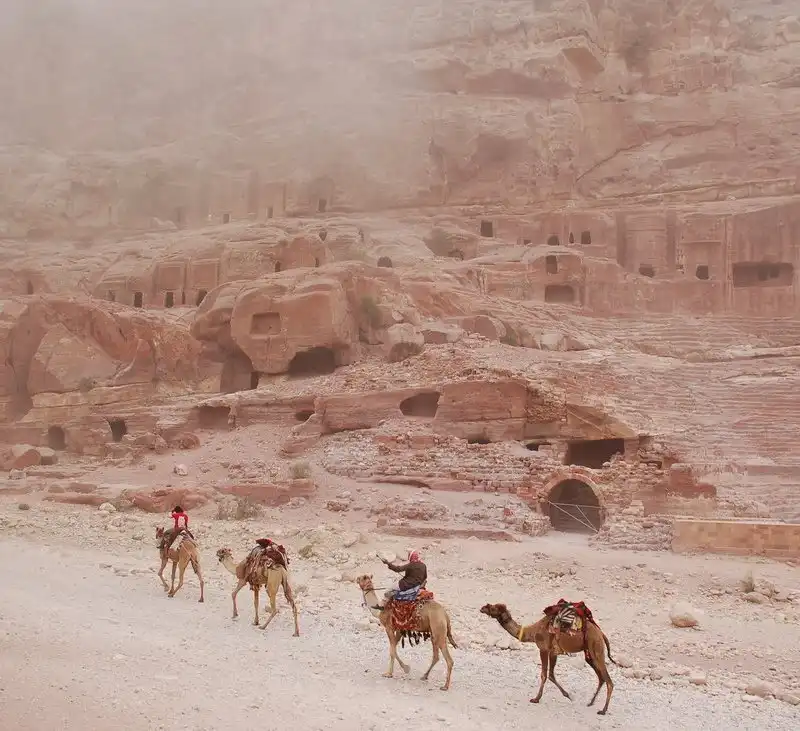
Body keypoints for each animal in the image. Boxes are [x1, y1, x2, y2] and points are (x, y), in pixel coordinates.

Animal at [480, 603, 616, 714]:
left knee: (608, 681)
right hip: (589, 653)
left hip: (596, 649)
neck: (532, 631)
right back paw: (591, 702)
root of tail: (601, 634)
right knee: (601, 678)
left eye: (493, 608)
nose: (482, 608)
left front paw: (535, 699)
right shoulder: (553, 652)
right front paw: (567, 695)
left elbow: (544, 674)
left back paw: (603, 710)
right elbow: (551, 675)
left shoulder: (544, 649)